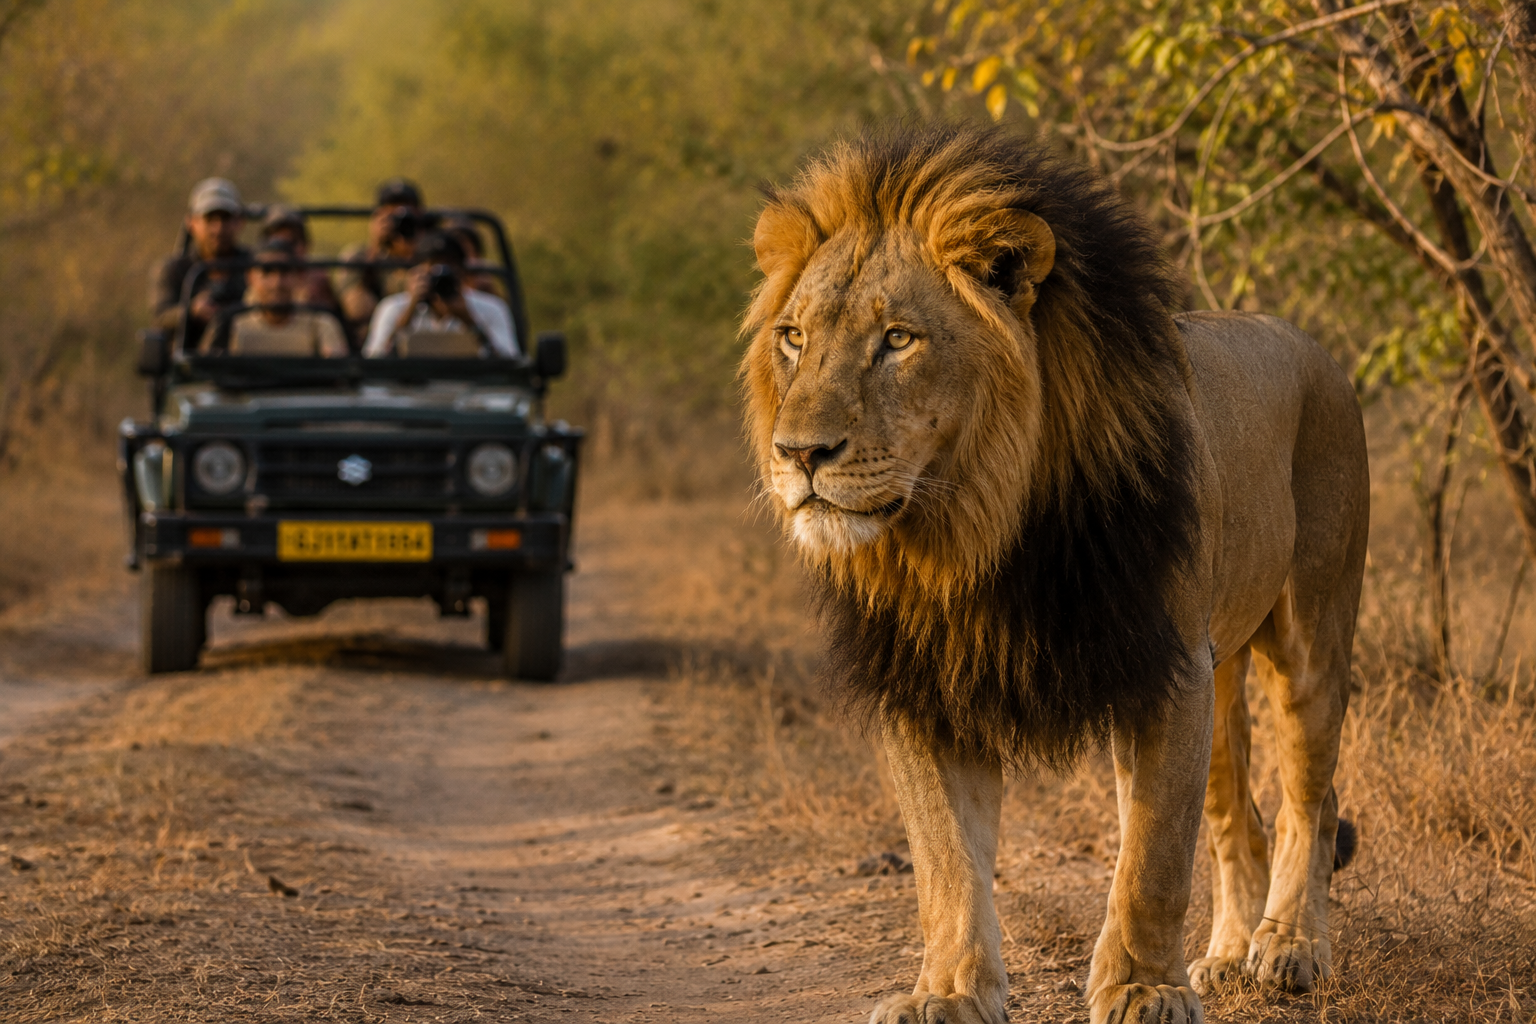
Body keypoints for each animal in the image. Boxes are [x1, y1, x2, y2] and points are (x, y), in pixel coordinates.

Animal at [741, 123, 1368, 1024]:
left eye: (898, 339)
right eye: (793, 337)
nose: (797, 454)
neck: (975, 532)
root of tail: (1311, 344)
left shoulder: (1163, 671)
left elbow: (1150, 859)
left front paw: (1141, 989)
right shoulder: (925, 688)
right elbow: (946, 862)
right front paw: (948, 993)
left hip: (1310, 636)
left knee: (1308, 803)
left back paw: (1289, 946)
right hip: (1222, 676)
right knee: (1234, 819)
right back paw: (1224, 956)